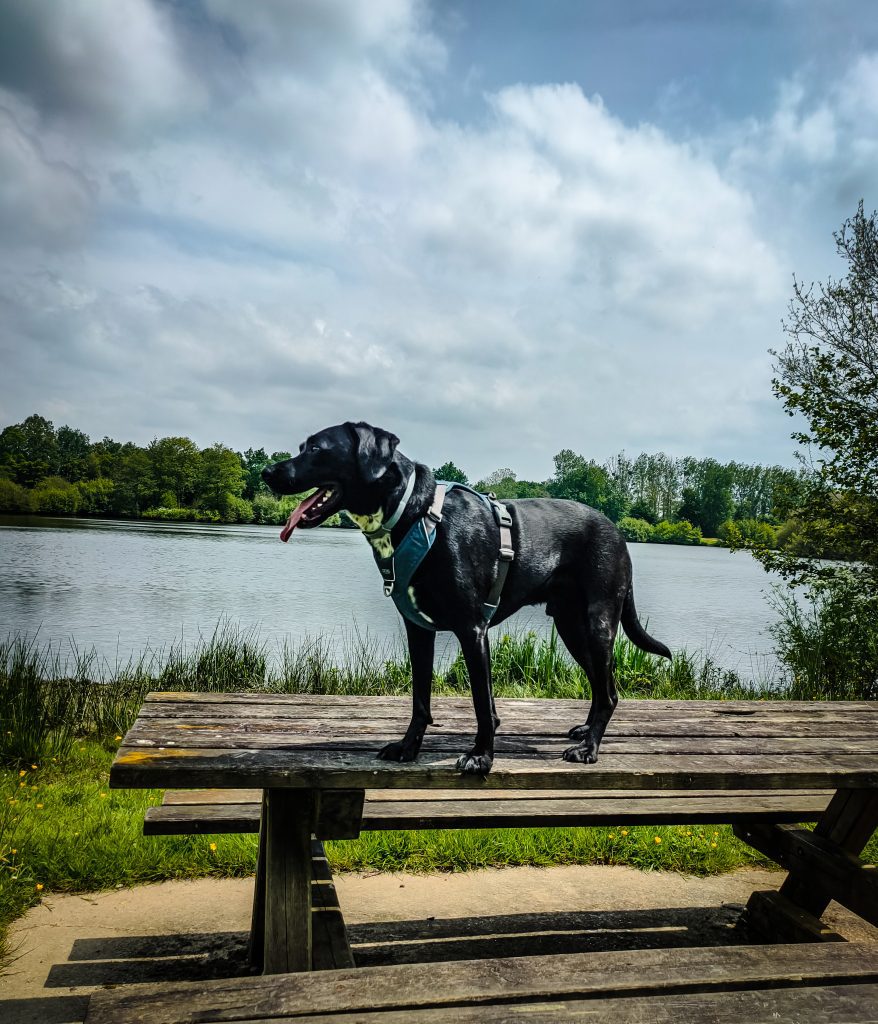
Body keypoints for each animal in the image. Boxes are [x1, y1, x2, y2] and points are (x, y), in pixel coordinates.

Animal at [262, 423, 672, 774]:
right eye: (302, 446)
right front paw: (409, 747)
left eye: (317, 449)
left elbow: (480, 703)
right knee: (603, 687)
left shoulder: (473, 630)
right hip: (572, 628)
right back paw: (586, 732)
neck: (416, 514)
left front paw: (481, 757)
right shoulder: (418, 630)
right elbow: (421, 699)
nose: (267, 472)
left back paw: (589, 748)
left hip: (598, 622)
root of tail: (617, 531)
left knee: (608, 692)